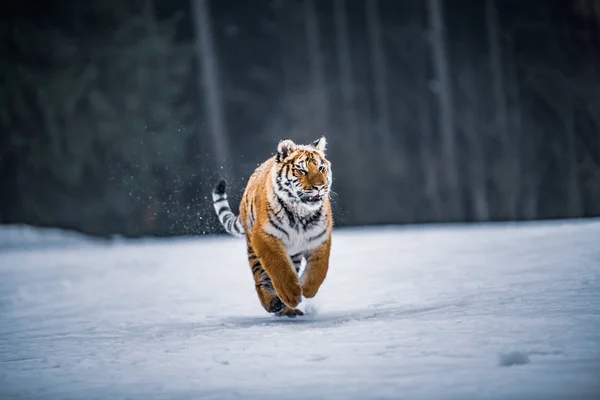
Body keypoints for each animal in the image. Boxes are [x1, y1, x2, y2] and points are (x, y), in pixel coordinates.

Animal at [211, 138, 332, 318]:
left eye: (321, 168)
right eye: (301, 170)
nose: (319, 186)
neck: (301, 214)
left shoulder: (320, 239)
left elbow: (319, 269)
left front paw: (307, 289)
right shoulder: (264, 236)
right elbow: (280, 266)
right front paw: (291, 294)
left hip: (293, 254)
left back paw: (288, 310)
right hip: (253, 250)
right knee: (261, 278)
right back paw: (274, 304)